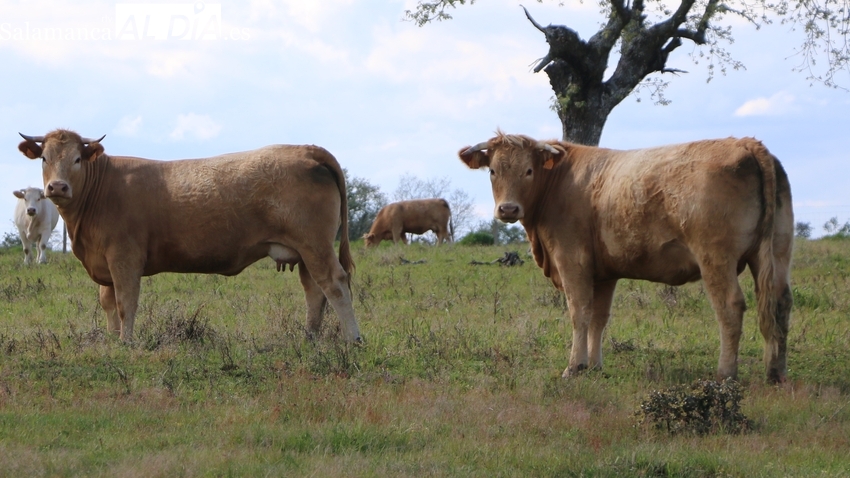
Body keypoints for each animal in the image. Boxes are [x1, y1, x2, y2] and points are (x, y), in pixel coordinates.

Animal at [17, 129, 362, 342]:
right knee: (314, 291)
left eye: (77, 158)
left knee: (334, 284)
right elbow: (109, 303)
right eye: (45, 158)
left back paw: (352, 340)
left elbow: (126, 302)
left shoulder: (125, 258)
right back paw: (310, 339)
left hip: (315, 245)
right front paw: (114, 340)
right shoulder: (105, 263)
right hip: (305, 252)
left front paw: (127, 343)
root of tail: (307, 149)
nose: (57, 187)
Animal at [460, 132, 792, 384]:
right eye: (493, 171)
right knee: (780, 304)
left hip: (716, 259)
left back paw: (725, 374)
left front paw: (573, 367)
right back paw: (775, 372)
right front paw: (593, 366)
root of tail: (747, 143)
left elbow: (579, 312)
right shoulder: (604, 273)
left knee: (730, 308)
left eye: (528, 171)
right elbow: (598, 318)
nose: (508, 209)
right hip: (776, 255)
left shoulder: (572, 261)